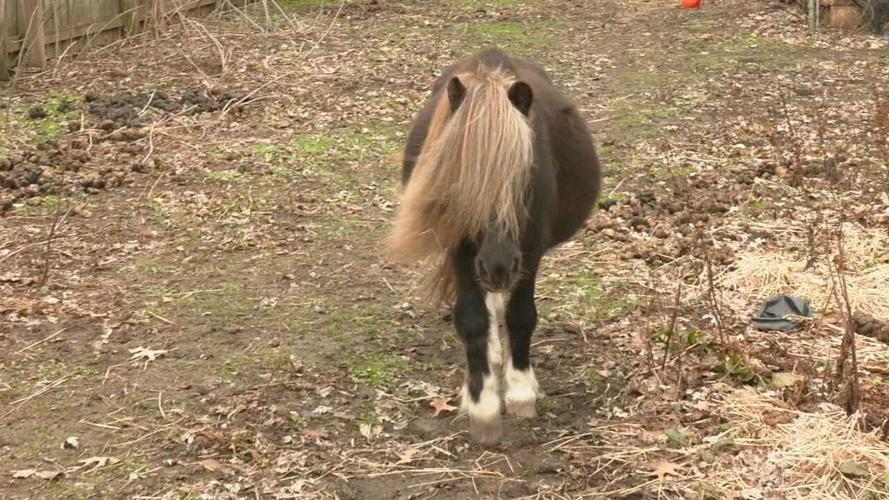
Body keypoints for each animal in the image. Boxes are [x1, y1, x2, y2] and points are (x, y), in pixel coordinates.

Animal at [385, 48, 602, 444]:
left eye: (525, 173)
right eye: (456, 177)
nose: (498, 266)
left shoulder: (529, 252)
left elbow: (520, 316)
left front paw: (520, 391)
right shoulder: (460, 251)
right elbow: (472, 320)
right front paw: (482, 402)